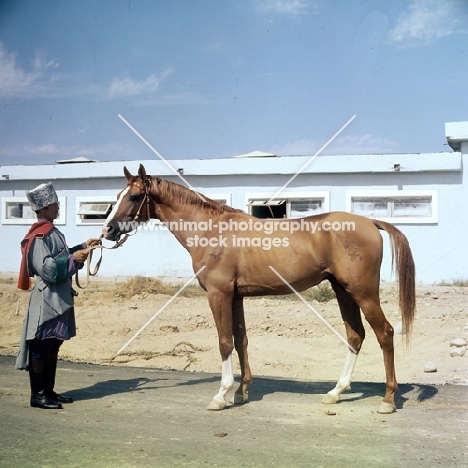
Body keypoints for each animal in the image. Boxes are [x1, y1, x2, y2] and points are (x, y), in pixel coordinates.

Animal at [102, 165, 414, 414]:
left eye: (133, 197)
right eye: (117, 196)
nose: (108, 230)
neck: (211, 230)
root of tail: (370, 221)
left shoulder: (218, 294)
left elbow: (224, 342)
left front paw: (221, 395)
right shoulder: (236, 297)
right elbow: (241, 341)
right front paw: (240, 393)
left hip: (363, 293)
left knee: (385, 333)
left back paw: (388, 399)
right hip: (343, 291)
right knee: (355, 336)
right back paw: (336, 392)